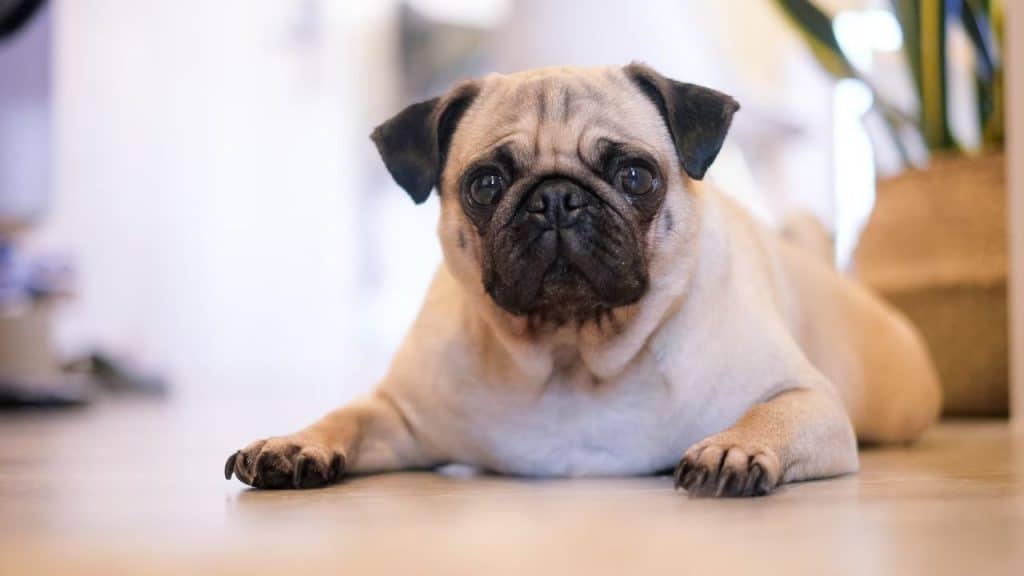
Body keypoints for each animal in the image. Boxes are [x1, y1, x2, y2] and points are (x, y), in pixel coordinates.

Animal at [226, 61, 942, 494]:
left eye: (635, 176)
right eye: (486, 185)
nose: (556, 199)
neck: (574, 354)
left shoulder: (808, 400)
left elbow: (770, 415)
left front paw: (734, 449)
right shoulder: (400, 416)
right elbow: (346, 415)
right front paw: (295, 444)